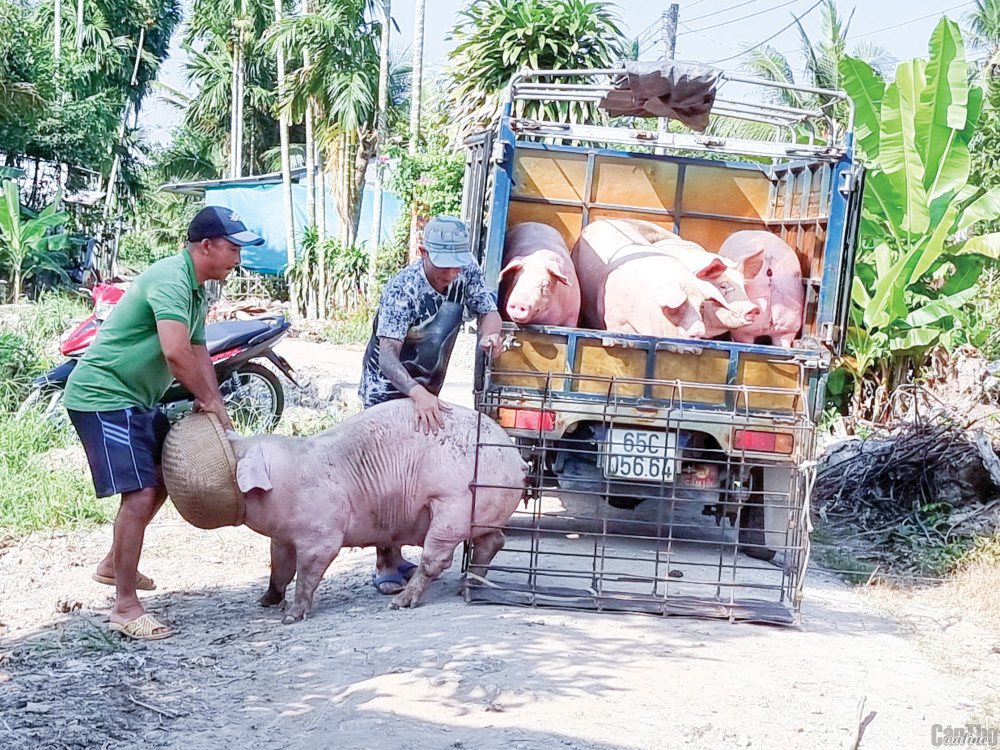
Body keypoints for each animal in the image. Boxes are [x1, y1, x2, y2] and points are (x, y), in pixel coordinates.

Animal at [230, 400, 528, 624]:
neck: (287, 479)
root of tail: (517, 459)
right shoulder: (281, 538)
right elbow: (279, 568)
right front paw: (265, 601)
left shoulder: (321, 535)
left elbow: (306, 573)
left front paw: (290, 617)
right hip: (483, 510)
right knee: (493, 541)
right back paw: (464, 587)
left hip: (453, 507)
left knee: (438, 559)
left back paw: (399, 602)